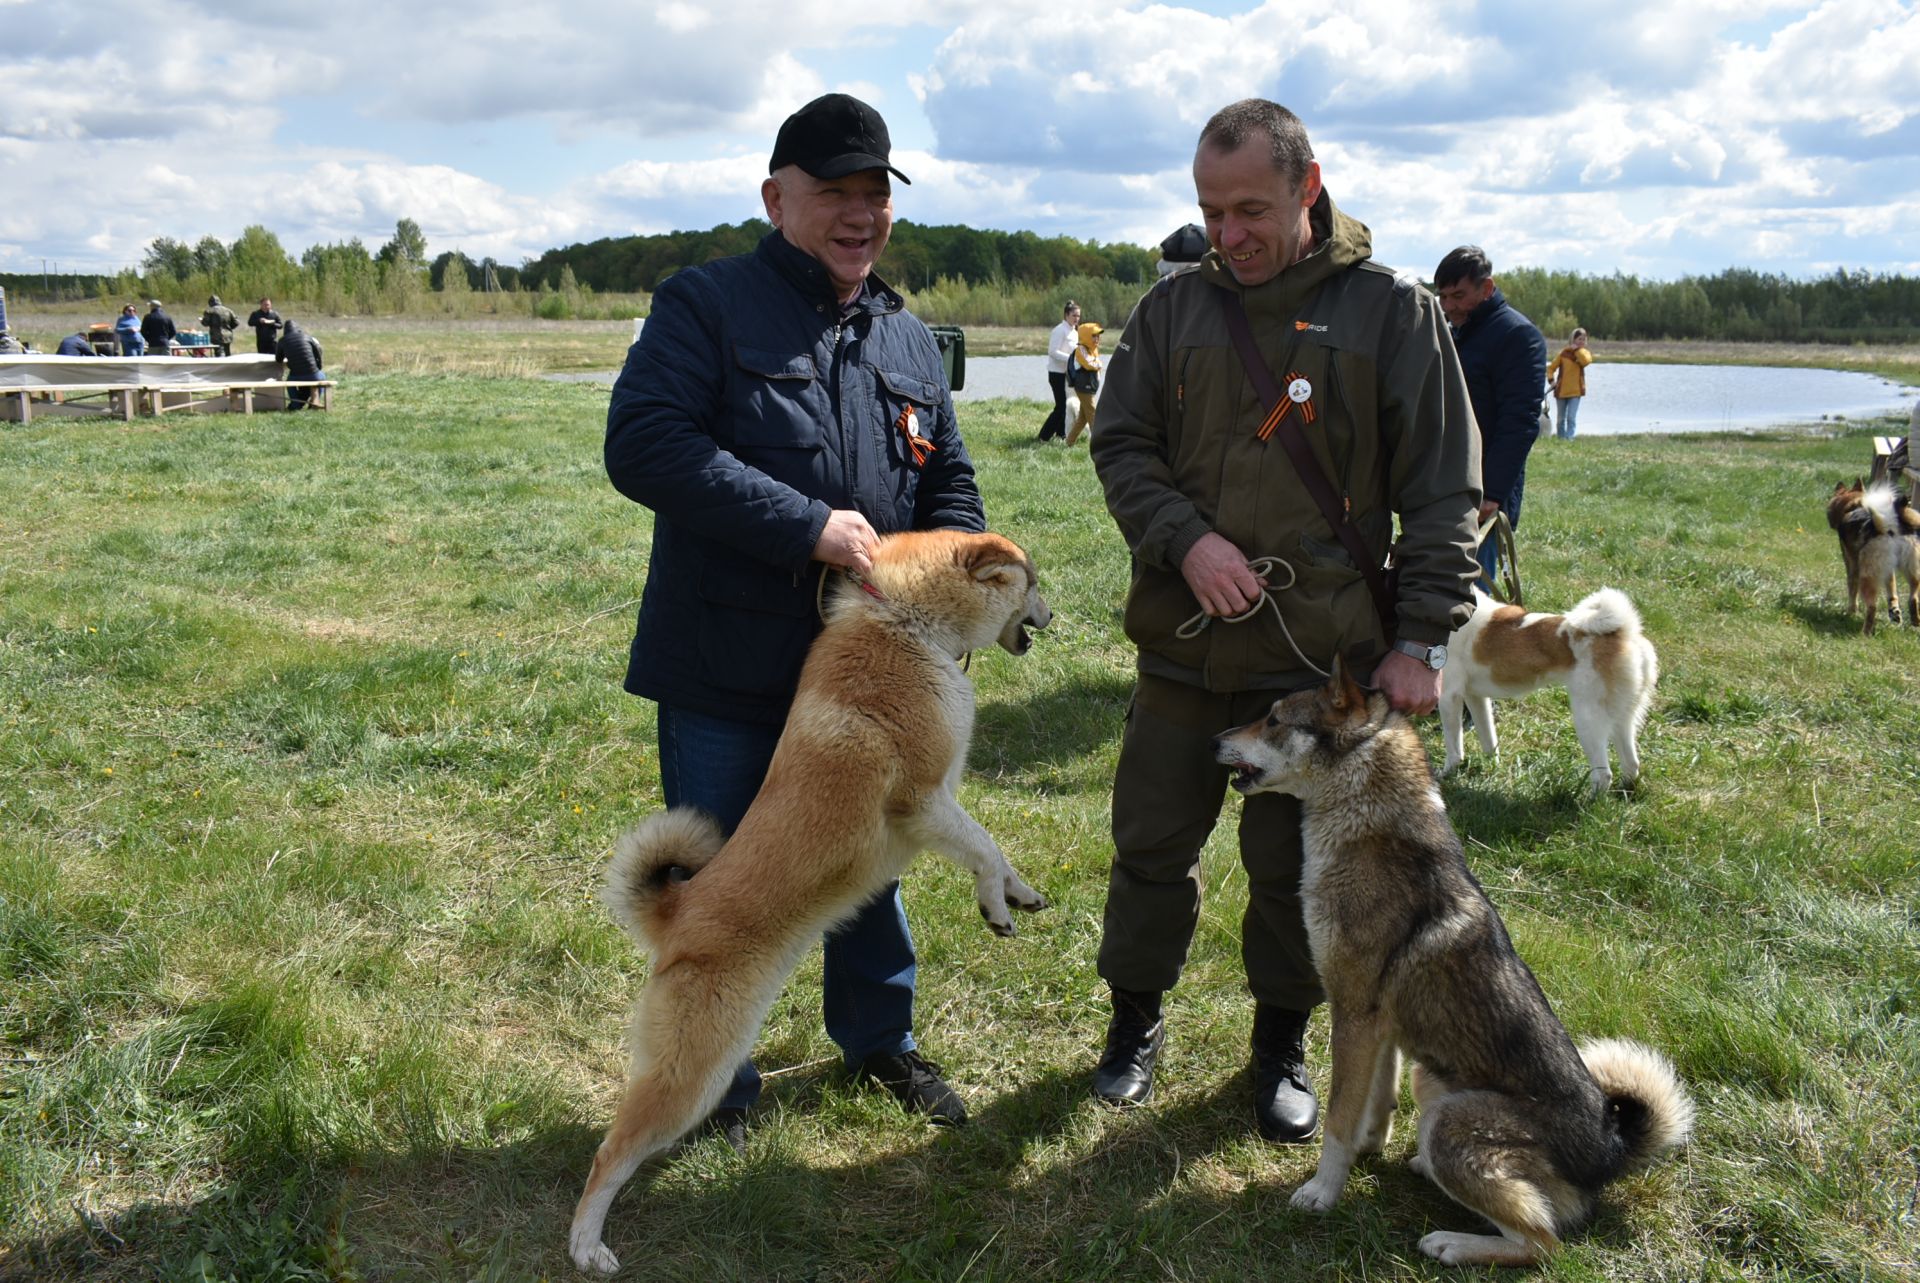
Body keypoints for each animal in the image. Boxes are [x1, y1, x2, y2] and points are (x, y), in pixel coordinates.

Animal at [564, 526, 1052, 1267]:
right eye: (1033, 583)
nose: (1055, 617)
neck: (905, 624)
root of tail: (676, 915)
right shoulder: (922, 799)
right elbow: (985, 844)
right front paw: (998, 902)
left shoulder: (932, 811)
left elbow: (986, 851)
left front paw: (1015, 894)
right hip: (693, 1070)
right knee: (609, 1155)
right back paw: (587, 1246)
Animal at [1213, 668, 1697, 1267]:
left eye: (1275, 719)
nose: (1213, 739)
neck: (1365, 822)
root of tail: (1609, 1150)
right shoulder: (1382, 1029)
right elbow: (1375, 1103)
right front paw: (1371, 1151)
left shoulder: (1354, 1013)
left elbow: (1340, 1118)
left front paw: (1323, 1192)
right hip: (1432, 1080)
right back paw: (1424, 1170)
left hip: (1450, 1120)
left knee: (1546, 1244)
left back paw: (1450, 1242)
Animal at [1436, 587, 1658, 791]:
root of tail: (1624, 631)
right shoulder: (1476, 697)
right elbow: (1489, 741)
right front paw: (1492, 769)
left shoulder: (1448, 697)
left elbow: (1454, 748)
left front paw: (1446, 775)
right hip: (1622, 719)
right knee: (1631, 763)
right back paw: (1624, 791)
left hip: (1587, 720)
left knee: (1604, 775)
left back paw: (1588, 803)